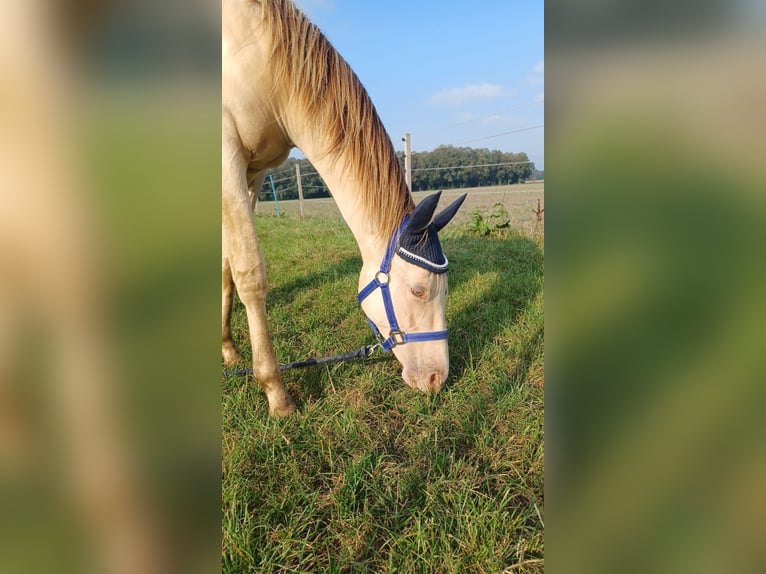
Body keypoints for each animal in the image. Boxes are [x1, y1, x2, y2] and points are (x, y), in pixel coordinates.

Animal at [222, 0, 468, 416]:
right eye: (419, 290)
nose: (439, 378)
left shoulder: (254, 171)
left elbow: (226, 267)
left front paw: (227, 349)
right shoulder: (227, 156)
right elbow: (250, 274)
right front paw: (276, 391)